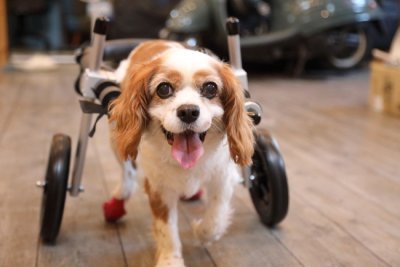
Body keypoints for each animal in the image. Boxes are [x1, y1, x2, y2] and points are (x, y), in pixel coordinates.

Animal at [103, 40, 253, 267]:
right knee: (127, 169)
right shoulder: (158, 189)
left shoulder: (223, 179)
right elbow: (167, 231)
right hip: (116, 136)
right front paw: (170, 260)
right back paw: (121, 195)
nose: (188, 111)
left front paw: (201, 232)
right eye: (163, 89)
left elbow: (215, 218)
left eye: (210, 88)